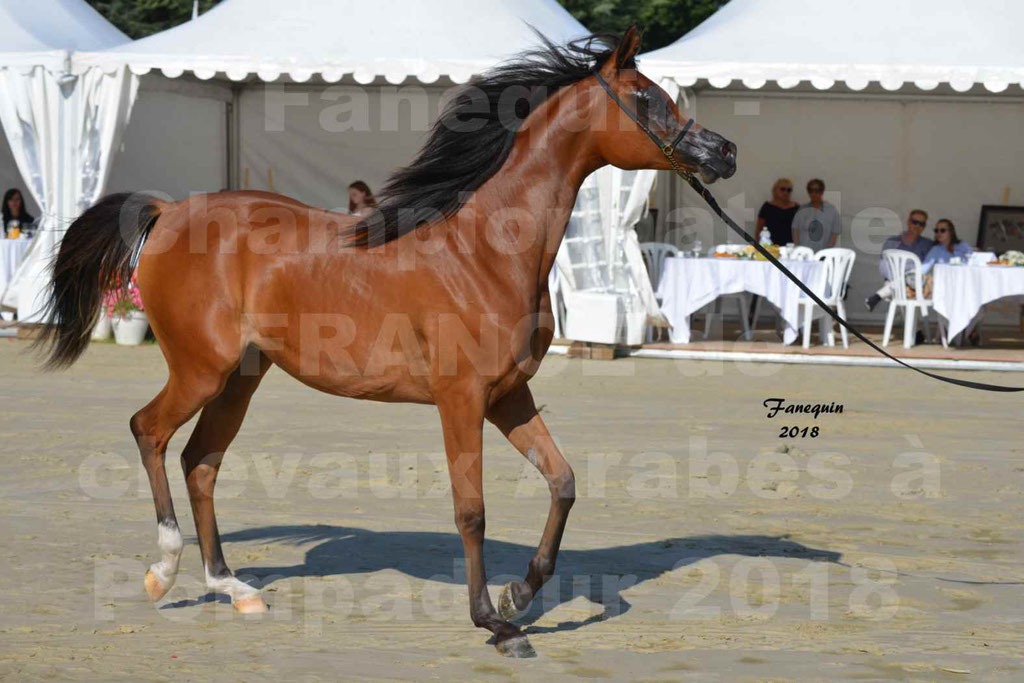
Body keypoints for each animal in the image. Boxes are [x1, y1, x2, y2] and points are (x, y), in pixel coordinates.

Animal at [36, 26, 733, 655]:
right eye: (645, 98)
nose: (723, 152)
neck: (484, 250)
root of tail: (167, 212)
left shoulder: (509, 396)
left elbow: (562, 483)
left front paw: (519, 595)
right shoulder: (462, 400)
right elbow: (471, 510)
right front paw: (495, 624)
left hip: (240, 379)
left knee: (200, 462)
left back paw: (233, 588)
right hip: (199, 369)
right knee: (150, 432)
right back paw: (163, 571)